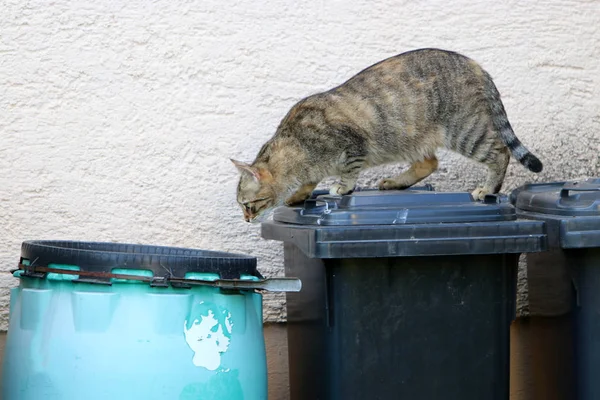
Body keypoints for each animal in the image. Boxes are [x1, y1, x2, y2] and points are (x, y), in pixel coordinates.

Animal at [232, 47, 540, 222]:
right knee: (430, 162)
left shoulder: (353, 145)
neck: (296, 148)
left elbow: (348, 173)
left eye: (248, 205)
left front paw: (341, 187)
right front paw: (297, 195)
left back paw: (488, 189)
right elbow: (308, 182)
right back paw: (395, 182)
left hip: (465, 131)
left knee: (500, 152)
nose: (246, 220)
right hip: (413, 137)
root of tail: (477, 65)